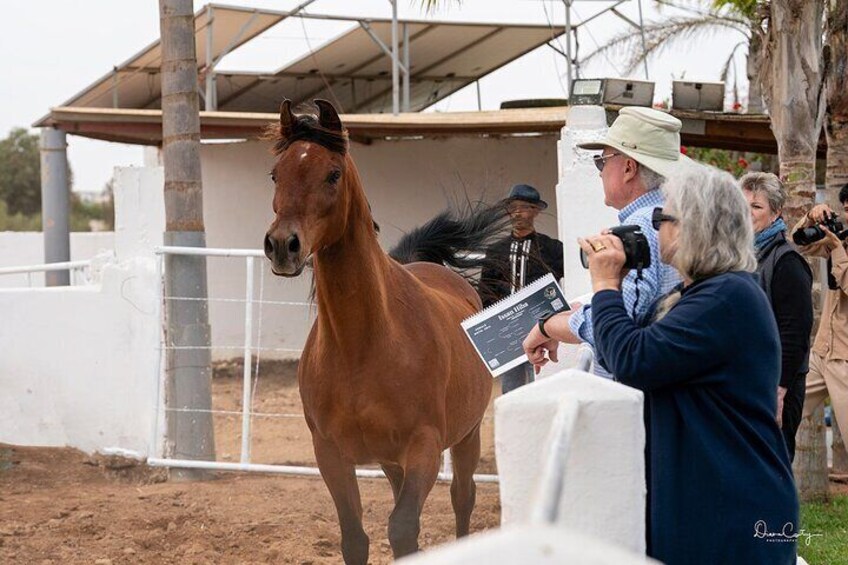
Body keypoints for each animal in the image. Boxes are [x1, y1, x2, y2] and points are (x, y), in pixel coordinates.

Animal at [264, 99, 500, 560]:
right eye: (276, 174)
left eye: (333, 173)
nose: (283, 245)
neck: (363, 345)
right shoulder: (330, 454)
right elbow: (355, 538)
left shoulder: (424, 447)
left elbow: (403, 529)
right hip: (392, 462)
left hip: (466, 437)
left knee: (463, 499)